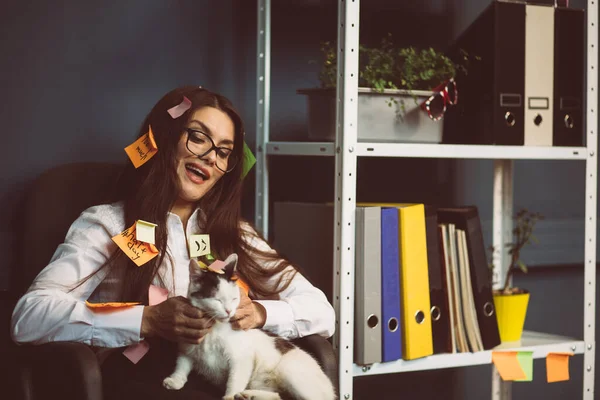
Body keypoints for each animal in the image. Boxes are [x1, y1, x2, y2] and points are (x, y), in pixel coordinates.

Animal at [162, 253, 338, 400]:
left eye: (234, 299)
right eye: (218, 300)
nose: (229, 311)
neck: (213, 328)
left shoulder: (241, 358)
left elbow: (235, 378)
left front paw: (229, 396)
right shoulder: (188, 343)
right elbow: (182, 363)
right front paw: (175, 379)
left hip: (291, 370)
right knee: (281, 397)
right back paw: (250, 395)